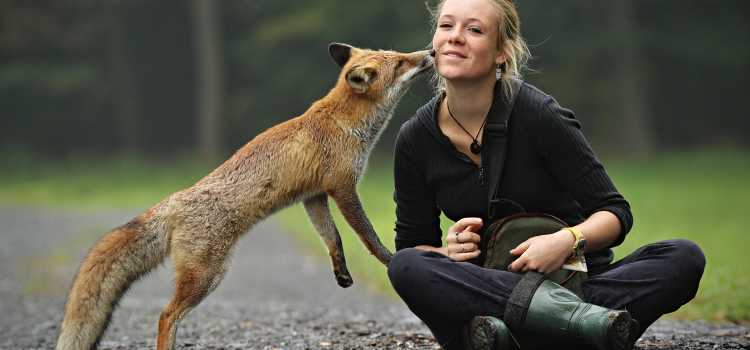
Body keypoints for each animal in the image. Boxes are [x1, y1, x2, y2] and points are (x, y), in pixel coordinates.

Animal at [57, 43, 434, 350]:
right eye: (401, 62)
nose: (429, 52)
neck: (343, 123)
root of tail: (175, 200)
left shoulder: (313, 196)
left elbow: (333, 238)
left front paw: (341, 272)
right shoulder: (342, 187)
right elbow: (367, 236)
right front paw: (390, 258)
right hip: (207, 275)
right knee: (166, 315)